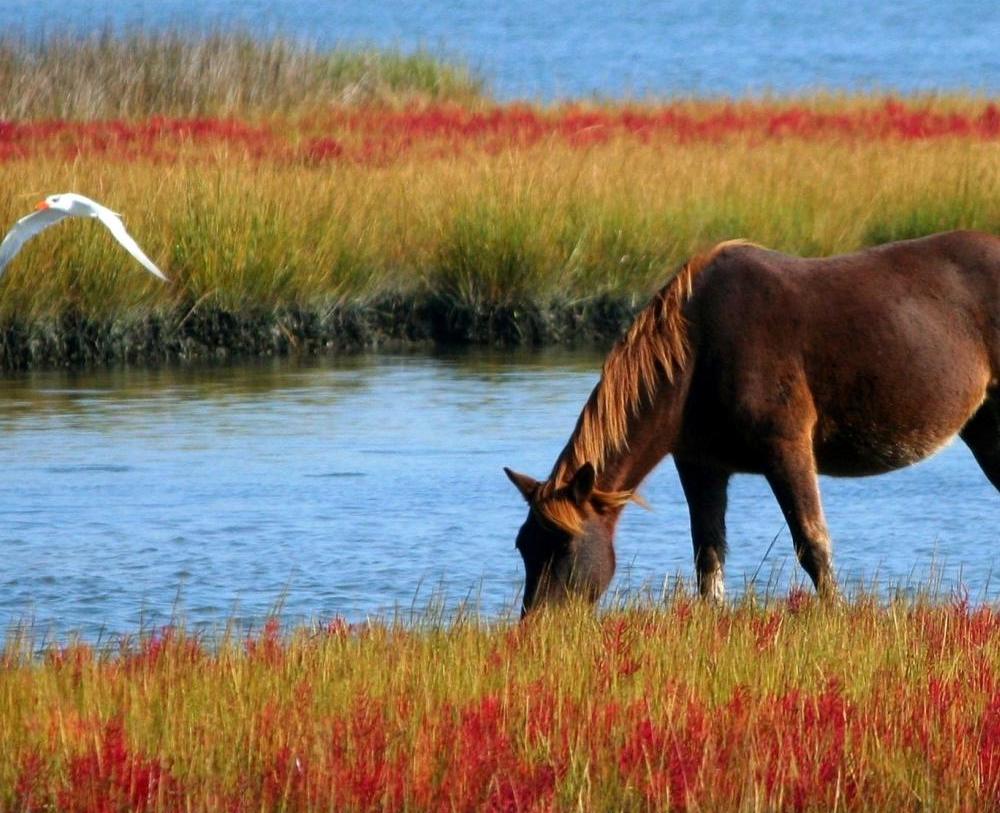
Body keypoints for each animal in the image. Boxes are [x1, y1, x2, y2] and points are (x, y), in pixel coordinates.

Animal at [508, 228, 1000, 608]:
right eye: (523, 545)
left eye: (565, 545)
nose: (538, 626)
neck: (696, 357)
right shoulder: (700, 463)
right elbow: (708, 555)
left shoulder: (787, 448)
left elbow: (812, 544)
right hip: (984, 427)